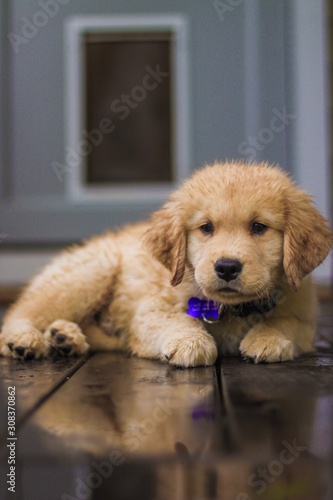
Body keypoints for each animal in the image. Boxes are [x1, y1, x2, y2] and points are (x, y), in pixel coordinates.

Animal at [0, 162, 332, 366]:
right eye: (206, 228)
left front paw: (269, 338)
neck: (229, 309)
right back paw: (25, 340)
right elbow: (176, 319)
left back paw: (65, 338)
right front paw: (190, 342)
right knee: (20, 312)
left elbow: (286, 321)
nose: (226, 267)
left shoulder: (305, 316)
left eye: (259, 227)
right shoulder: (150, 308)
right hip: (91, 272)